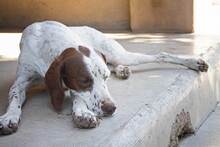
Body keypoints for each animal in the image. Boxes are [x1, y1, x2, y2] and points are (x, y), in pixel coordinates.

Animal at [0, 21, 208, 136]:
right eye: (84, 80)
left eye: (106, 79)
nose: (111, 108)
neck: (47, 41)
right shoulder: (21, 80)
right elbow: (15, 96)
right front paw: (9, 117)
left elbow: (77, 98)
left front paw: (82, 113)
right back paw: (122, 70)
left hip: (119, 54)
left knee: (160, 55)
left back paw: (194, 62)